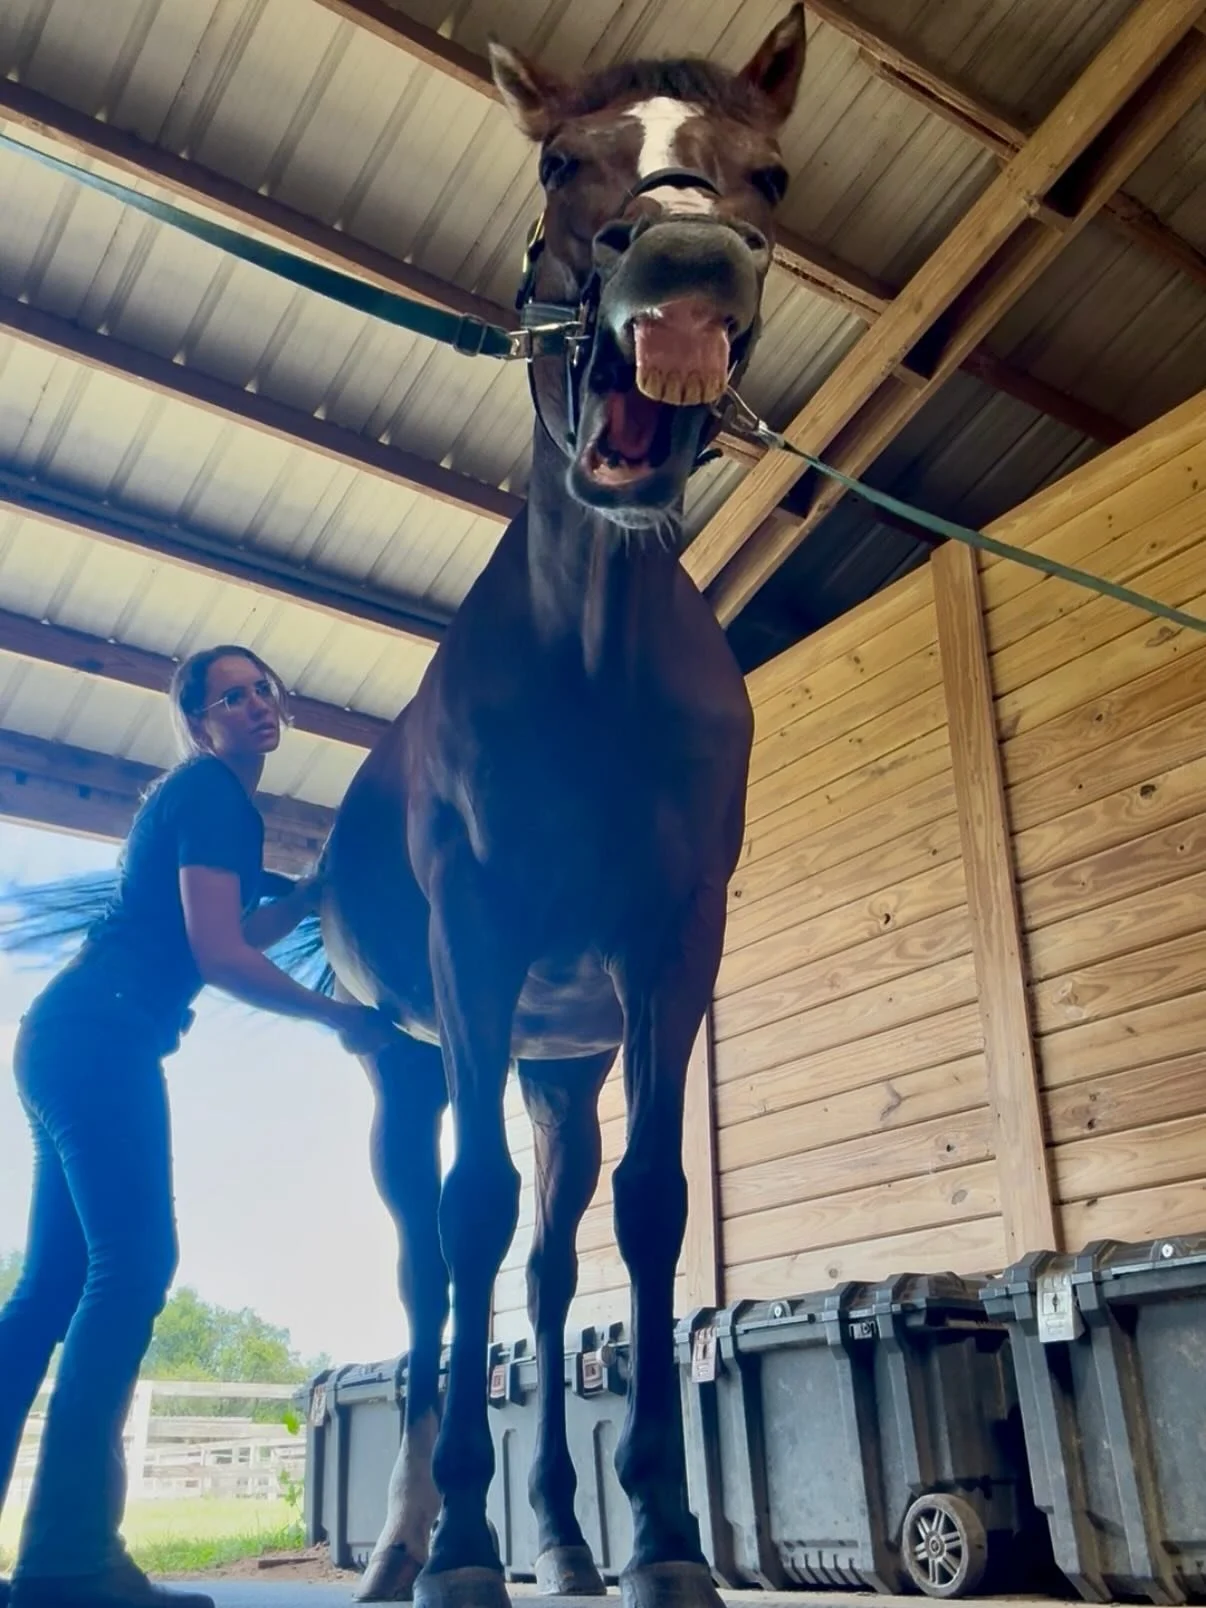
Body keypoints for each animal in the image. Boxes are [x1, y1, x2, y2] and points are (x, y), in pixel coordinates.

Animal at [313, 14, 807, 1607]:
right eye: (551, 161)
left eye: (771, 172)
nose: (687, 269)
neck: (590, 657)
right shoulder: (476, 937)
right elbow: (467, 1223)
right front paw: (467, 1547)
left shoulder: (670, 947)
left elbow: (646, 1213)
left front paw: (658, 1534)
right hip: (407, 1061)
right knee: (432, 1277)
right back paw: (408, 1543)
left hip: (558, 1064)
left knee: (537, 1266)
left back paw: (566, 1542)